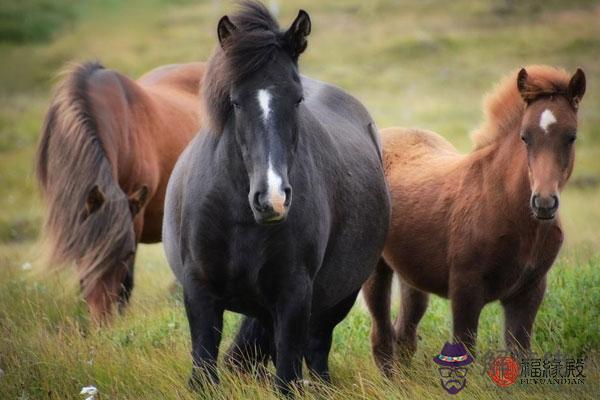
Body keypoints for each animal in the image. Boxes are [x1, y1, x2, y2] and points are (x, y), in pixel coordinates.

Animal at [163, 0, 390, 394]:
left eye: (297, 99)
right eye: (235, 102)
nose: (273, 199)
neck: (240, 217)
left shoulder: (294, 296)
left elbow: (286, 376)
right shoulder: (199, 290)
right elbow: (204, 368)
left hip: (336, 299)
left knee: (316, 350)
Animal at [360, 65, 584, 376]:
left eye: (571, 136)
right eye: (525, 137)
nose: (543, 203)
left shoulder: (529, 291)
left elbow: (519, 351)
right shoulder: (465, 289)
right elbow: (464, 349)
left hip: (412, 274)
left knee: (404, 333)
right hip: (376, 268)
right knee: (381, 334)